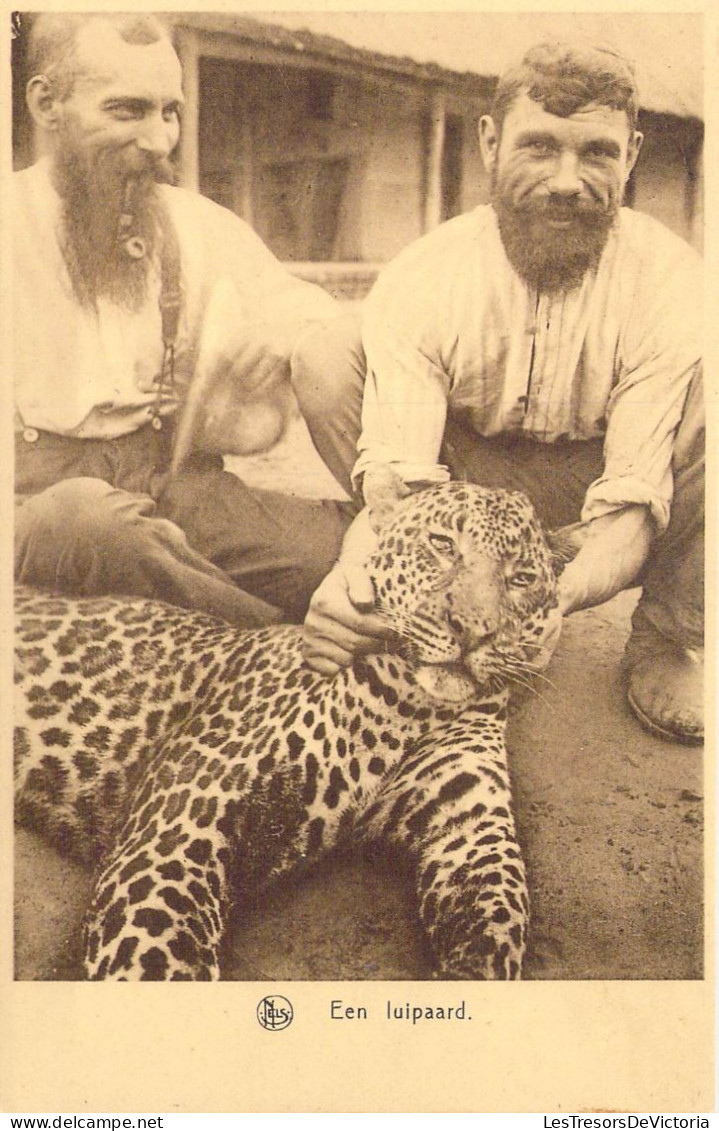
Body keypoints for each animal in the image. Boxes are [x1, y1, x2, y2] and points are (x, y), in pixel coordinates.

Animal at [14, 477, 572, 981]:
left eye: (522, 577)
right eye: (442, 545)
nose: (474, 630)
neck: (416, 706)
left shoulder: (472, 826)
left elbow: (498, 919)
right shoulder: (172, 837)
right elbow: (158, 963)